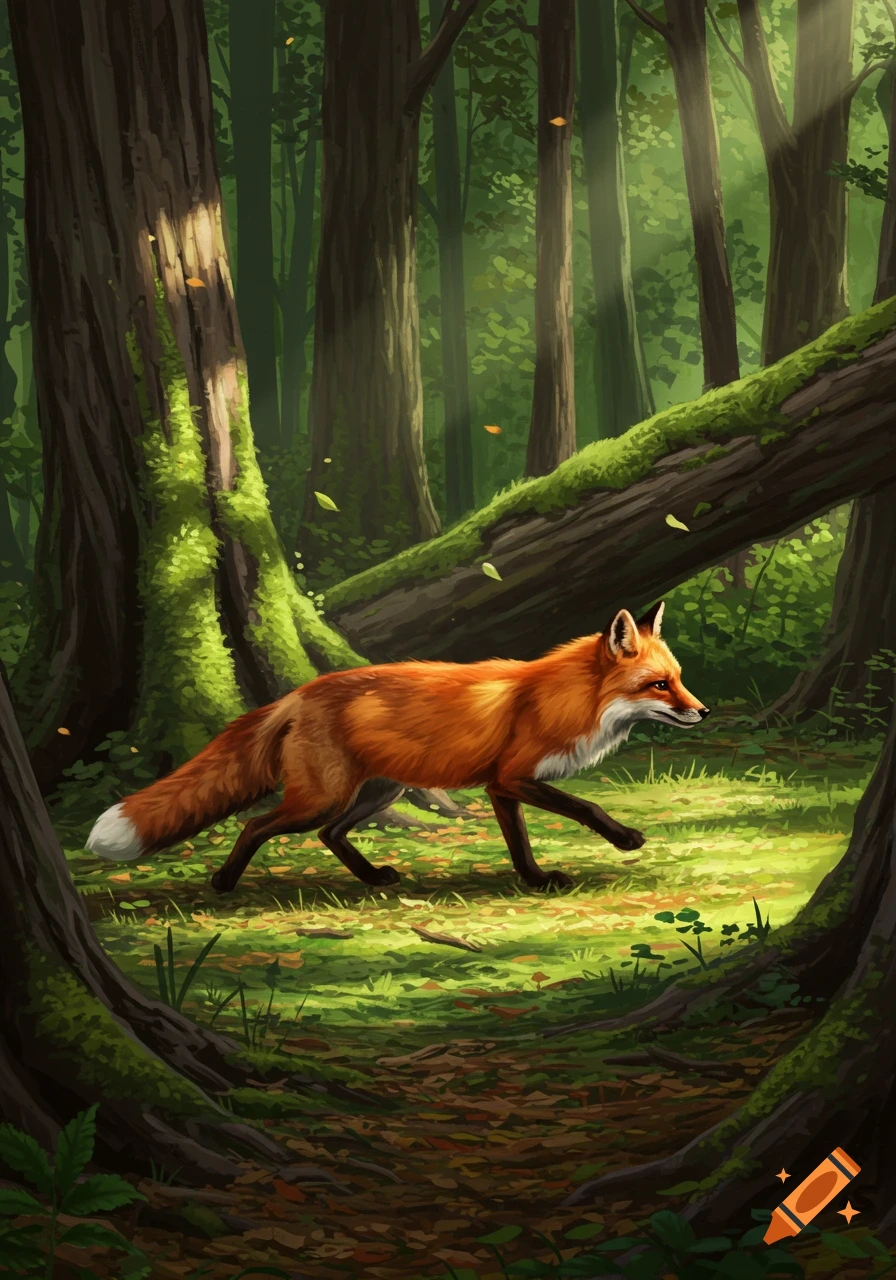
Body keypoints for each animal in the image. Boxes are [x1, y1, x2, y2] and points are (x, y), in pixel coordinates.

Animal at [87, 601, 709, 893]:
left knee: (328, 835)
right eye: (659, 685)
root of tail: (300, 692)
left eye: (679, 679)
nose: (702, 711)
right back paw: (223, 883)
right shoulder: (510, 777)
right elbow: (585, 806)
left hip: (377, 793)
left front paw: (533, 881)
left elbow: (520, 843)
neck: (566, 698)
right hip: (327, 795)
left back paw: (371, 879)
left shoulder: (500, 788)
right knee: (257, 825)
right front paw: (623, 840)